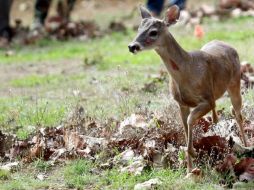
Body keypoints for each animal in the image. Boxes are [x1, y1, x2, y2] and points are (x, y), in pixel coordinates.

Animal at [128, 5, 247, 173]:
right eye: (138, 28)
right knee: (222, 114)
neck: (187, 70)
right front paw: (189, 170)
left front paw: (194, 153)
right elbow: (185, 128)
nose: (132, 46)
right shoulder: (181, 103)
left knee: (237, 113)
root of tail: (228, 45)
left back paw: (246, 146)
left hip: (235, 81)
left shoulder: (207, 99)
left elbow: (191, 120)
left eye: (153, 32)